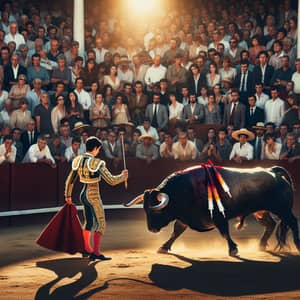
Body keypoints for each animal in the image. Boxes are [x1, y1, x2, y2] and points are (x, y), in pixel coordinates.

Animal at [125, 164, 300, 255]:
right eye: (145, 210)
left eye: (157, 210)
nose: (152, 229)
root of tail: (273, 171)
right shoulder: (185, 217)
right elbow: (176, 231)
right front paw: (163, 247)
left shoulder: (218, 216)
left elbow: (224, 232)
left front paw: (233, 249)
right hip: (261, 211)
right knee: (270, 224)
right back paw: (261, 245)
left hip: (282, 209)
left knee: (292, 222)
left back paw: (297, 245)